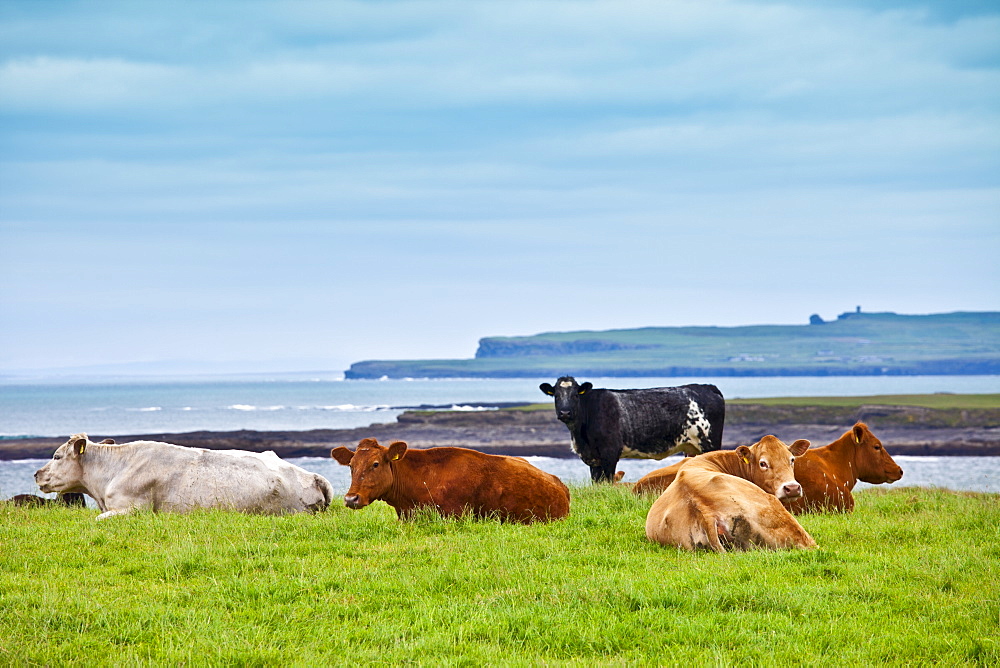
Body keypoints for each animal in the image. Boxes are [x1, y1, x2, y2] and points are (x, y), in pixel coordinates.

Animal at [540, 376, 728, 480]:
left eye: (574, 395)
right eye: (556, 396)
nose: (565, 412)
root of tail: (707, 387)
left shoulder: (610, 453)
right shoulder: (594, 459)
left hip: (710, 443)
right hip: (691, 448)